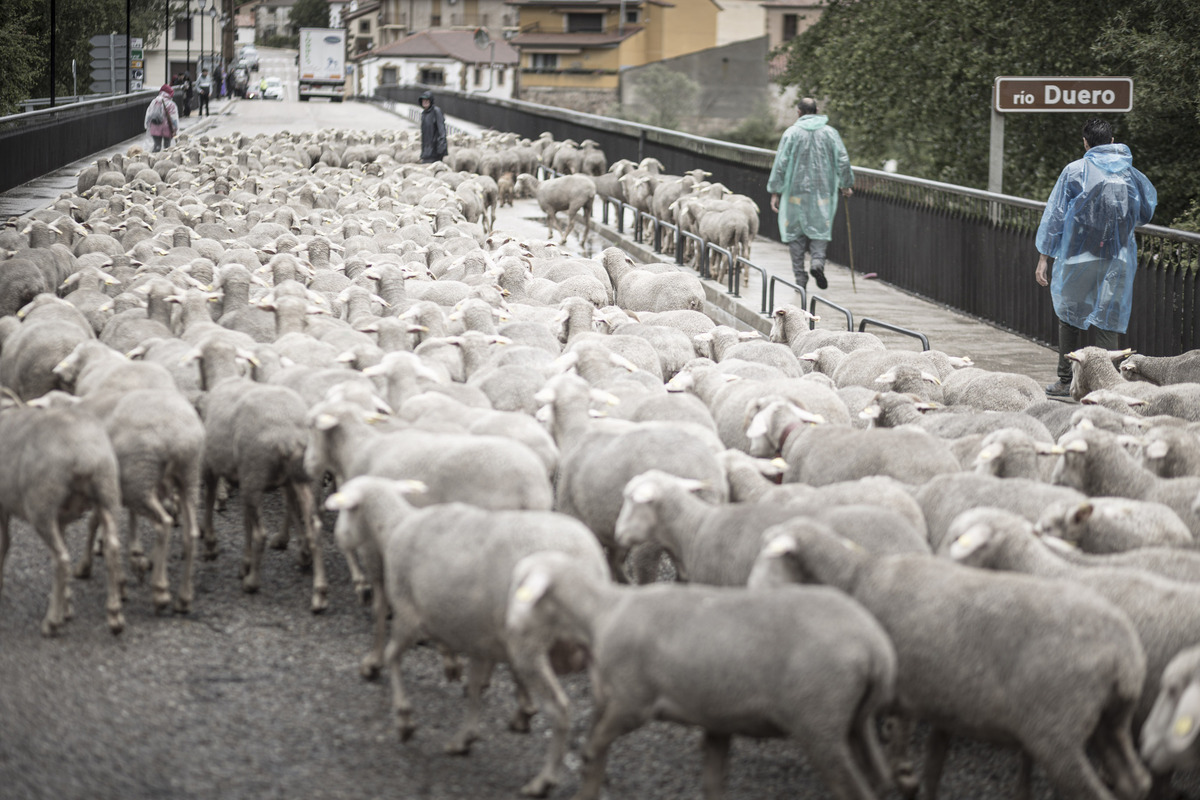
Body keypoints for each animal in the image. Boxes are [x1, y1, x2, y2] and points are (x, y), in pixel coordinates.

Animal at [324, 479, 609, 796]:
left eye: (344, 509)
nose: (337, 537)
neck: (395, 525)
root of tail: (587, 561)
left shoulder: (410, 614)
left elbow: (392, 656)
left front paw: (404, 719)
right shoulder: (477, 637)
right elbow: (473, 688)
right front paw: (465, 737)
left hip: (529, 644)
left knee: (560, 710)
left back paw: (544, 780)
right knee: (601, 729)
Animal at [508, 554, 902, 800]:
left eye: (522, 587)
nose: (509, 624)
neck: (601, 614)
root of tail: (876, 649)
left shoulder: (632, 703)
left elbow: (593, 749)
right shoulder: (716, 718)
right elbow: (711, 782)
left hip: (818, 720)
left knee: (851, 789)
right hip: (854, 722)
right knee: (878, 780)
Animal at [748, 515, 1152, 796]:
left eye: (770, 557)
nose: (747, 593)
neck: (855, 579)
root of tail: (1125, 654)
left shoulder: (900, 693)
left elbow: (894, 748)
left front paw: (900, 778)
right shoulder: (942, 700)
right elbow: (932, 759)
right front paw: (913, 783)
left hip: (1057, 732)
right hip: (1111, 723)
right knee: (1136, 781)